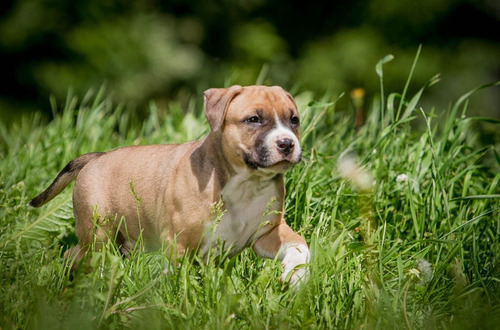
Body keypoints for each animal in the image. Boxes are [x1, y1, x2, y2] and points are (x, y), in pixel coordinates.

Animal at [29, 85, 310, 286]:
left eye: (294, 120)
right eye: (253, 119)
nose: (287, 143)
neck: (245, 183)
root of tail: (96, 157)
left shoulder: (268, 232)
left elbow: (300, 245)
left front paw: (296, 276)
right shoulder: (178, 243)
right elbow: (176, 279)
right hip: (98, 232)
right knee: (83, 256)